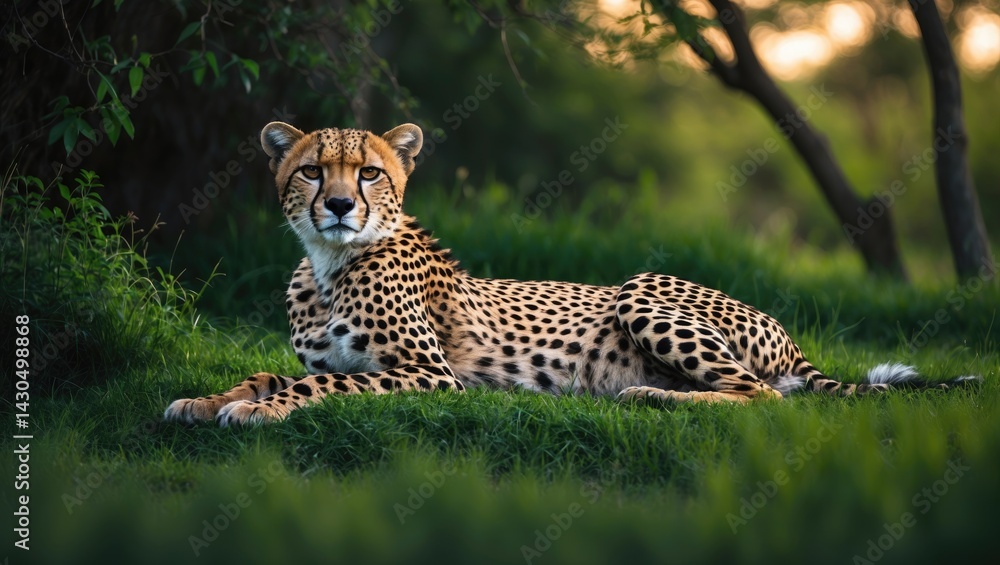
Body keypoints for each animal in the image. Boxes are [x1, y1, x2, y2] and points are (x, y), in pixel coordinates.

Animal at [164, 121, 980, 427]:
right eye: (311, 171)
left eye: (368, 172)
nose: (337, 205)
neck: (330, 263)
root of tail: (786, 335)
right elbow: (267, 374)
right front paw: (206, 399)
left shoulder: (429, 376)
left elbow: (315, 386)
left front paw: (258, 411)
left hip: (642, 291)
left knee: (758, 397)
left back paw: (650, 394)